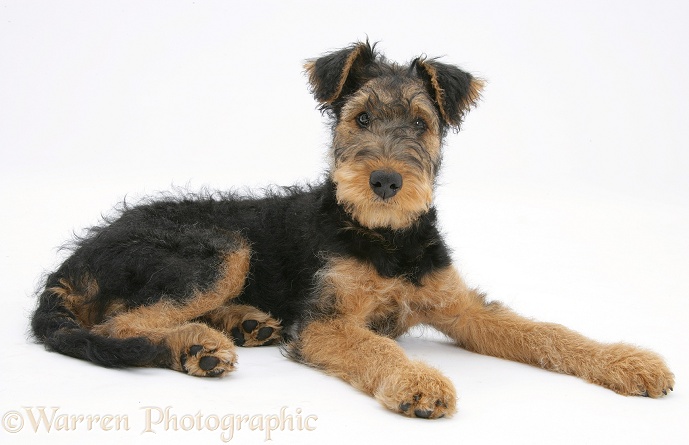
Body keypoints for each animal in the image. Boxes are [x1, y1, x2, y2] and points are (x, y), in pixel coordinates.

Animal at [30, 40, 672, 418]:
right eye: (360, 117)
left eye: (421, 123)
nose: (385, 180)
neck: (388, 238)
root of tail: (70, 264)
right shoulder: (326, 322)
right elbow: (374, 346)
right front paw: (417, 382)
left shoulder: (461, 307)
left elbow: (547, 332)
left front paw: (632, 364)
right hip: (218, 250)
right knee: (121, 324)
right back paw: (199, 346)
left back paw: (244, 324)